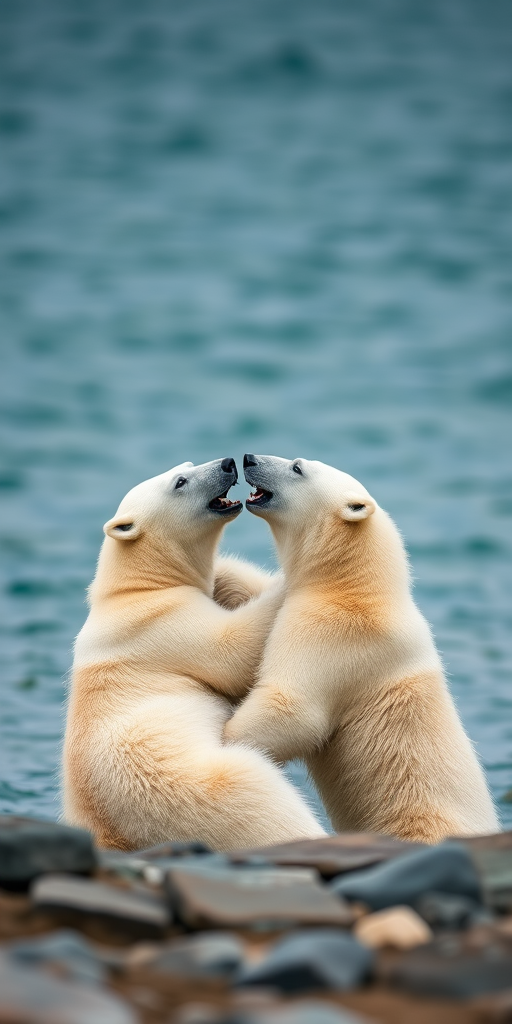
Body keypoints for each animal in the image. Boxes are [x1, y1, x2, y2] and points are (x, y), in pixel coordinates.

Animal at [63, 457, 325, 851]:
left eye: (185, 464)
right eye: (180, 481)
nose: (228, 462)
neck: (133, 587)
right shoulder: (162, 623)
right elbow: (232, 653)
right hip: (197, 788)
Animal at [224, 454, 499, 843]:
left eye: (297, 467)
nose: (248, 458)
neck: (358, 588)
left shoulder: (337, 636)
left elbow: (294, 708)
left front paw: (225, 738)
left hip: (415, 817)